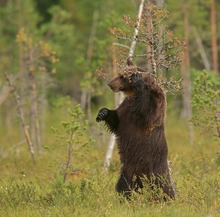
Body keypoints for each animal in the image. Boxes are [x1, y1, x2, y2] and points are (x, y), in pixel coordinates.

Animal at [96, 58, 175, 199]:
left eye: (122, 76)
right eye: (119, 74)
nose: (110, 84)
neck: (132, 93)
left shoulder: (155, 101)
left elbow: (149, 113)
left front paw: (138, 80)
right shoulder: (125, 107)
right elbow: (117, 120)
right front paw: (103, 112)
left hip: (154, 165)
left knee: (162, 184)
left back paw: (167, 197)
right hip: (128, 169)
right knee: (124, 184)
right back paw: (124, 196)